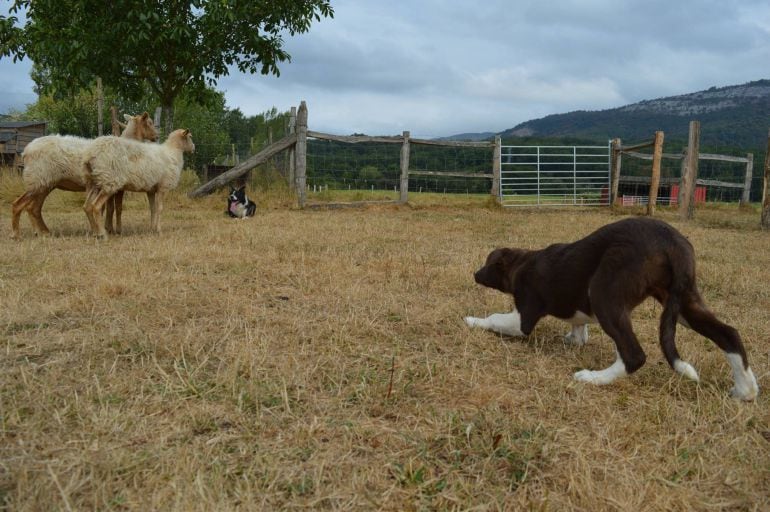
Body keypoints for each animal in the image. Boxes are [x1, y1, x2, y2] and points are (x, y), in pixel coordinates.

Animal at [10, 112, 158, 238]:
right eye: (150, 122)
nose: (156, 137)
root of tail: (26, 150)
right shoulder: (117, 187)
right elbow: (117, 208)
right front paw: (114, 230)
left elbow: (108, 208)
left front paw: (106, 228)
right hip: (37, 180)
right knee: (20, 205)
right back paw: (17, 234)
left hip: (44, 183)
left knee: (33, 208)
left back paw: (43, 232)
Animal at [462, 216, 756, 400]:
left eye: (487, 263)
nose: (475, 274)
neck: (522, 261)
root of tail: (672, 241)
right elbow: (578, 327)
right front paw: (574, 338)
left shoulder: (523, 317)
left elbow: (495, 318)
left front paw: (472, 321)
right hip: (683, 301)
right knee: (729, 334)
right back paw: (746, 390)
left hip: (604, 292)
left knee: (634, 354)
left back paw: (593, 378)